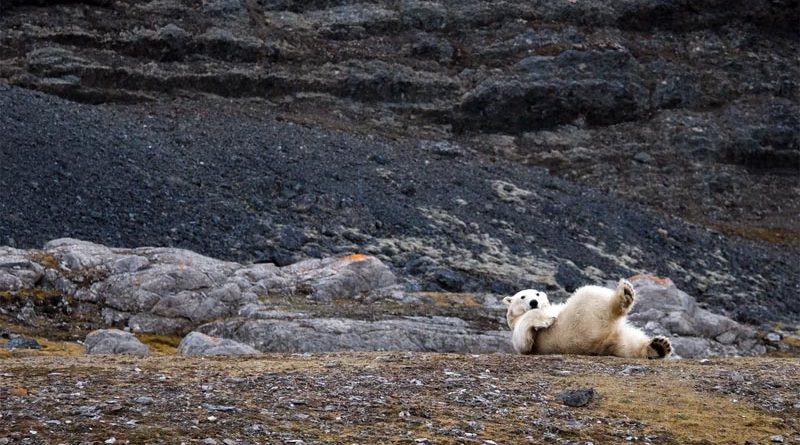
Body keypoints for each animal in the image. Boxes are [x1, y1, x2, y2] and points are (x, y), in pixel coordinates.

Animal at [506, 280, 668, 360]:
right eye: (522, 296)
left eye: (537, 294)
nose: (534, 302)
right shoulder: (522, 330)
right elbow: (523, 342)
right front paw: (546, 320)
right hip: (579, 319)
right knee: (590, 292)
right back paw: (625, 294)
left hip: (612, 337)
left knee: (629, 344)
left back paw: (659, 346)